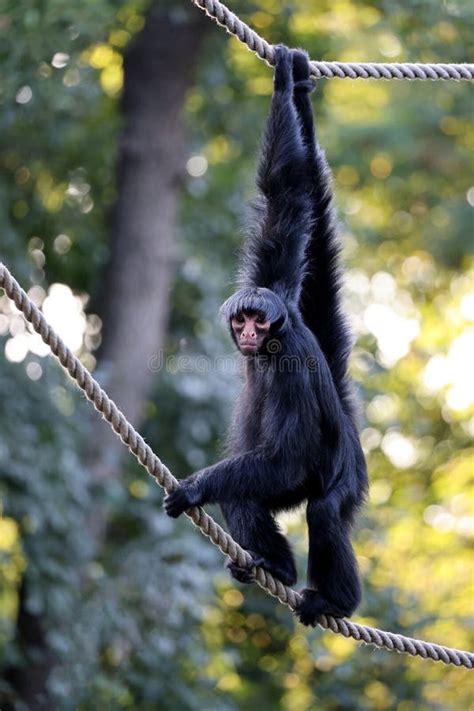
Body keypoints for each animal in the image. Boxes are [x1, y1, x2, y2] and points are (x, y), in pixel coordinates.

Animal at [165, 46, 368, 624]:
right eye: (242, 321)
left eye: (260, 321)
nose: (251, 332)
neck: (279, 336)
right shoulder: (274, 282)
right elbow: (286, 198)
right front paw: (289, 85)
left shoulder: (291, 359)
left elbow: (287, 455)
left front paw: (194, 487)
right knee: (245, 495)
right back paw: (277, 567)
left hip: (347, 475)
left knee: (323, 509)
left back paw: (336, 599)